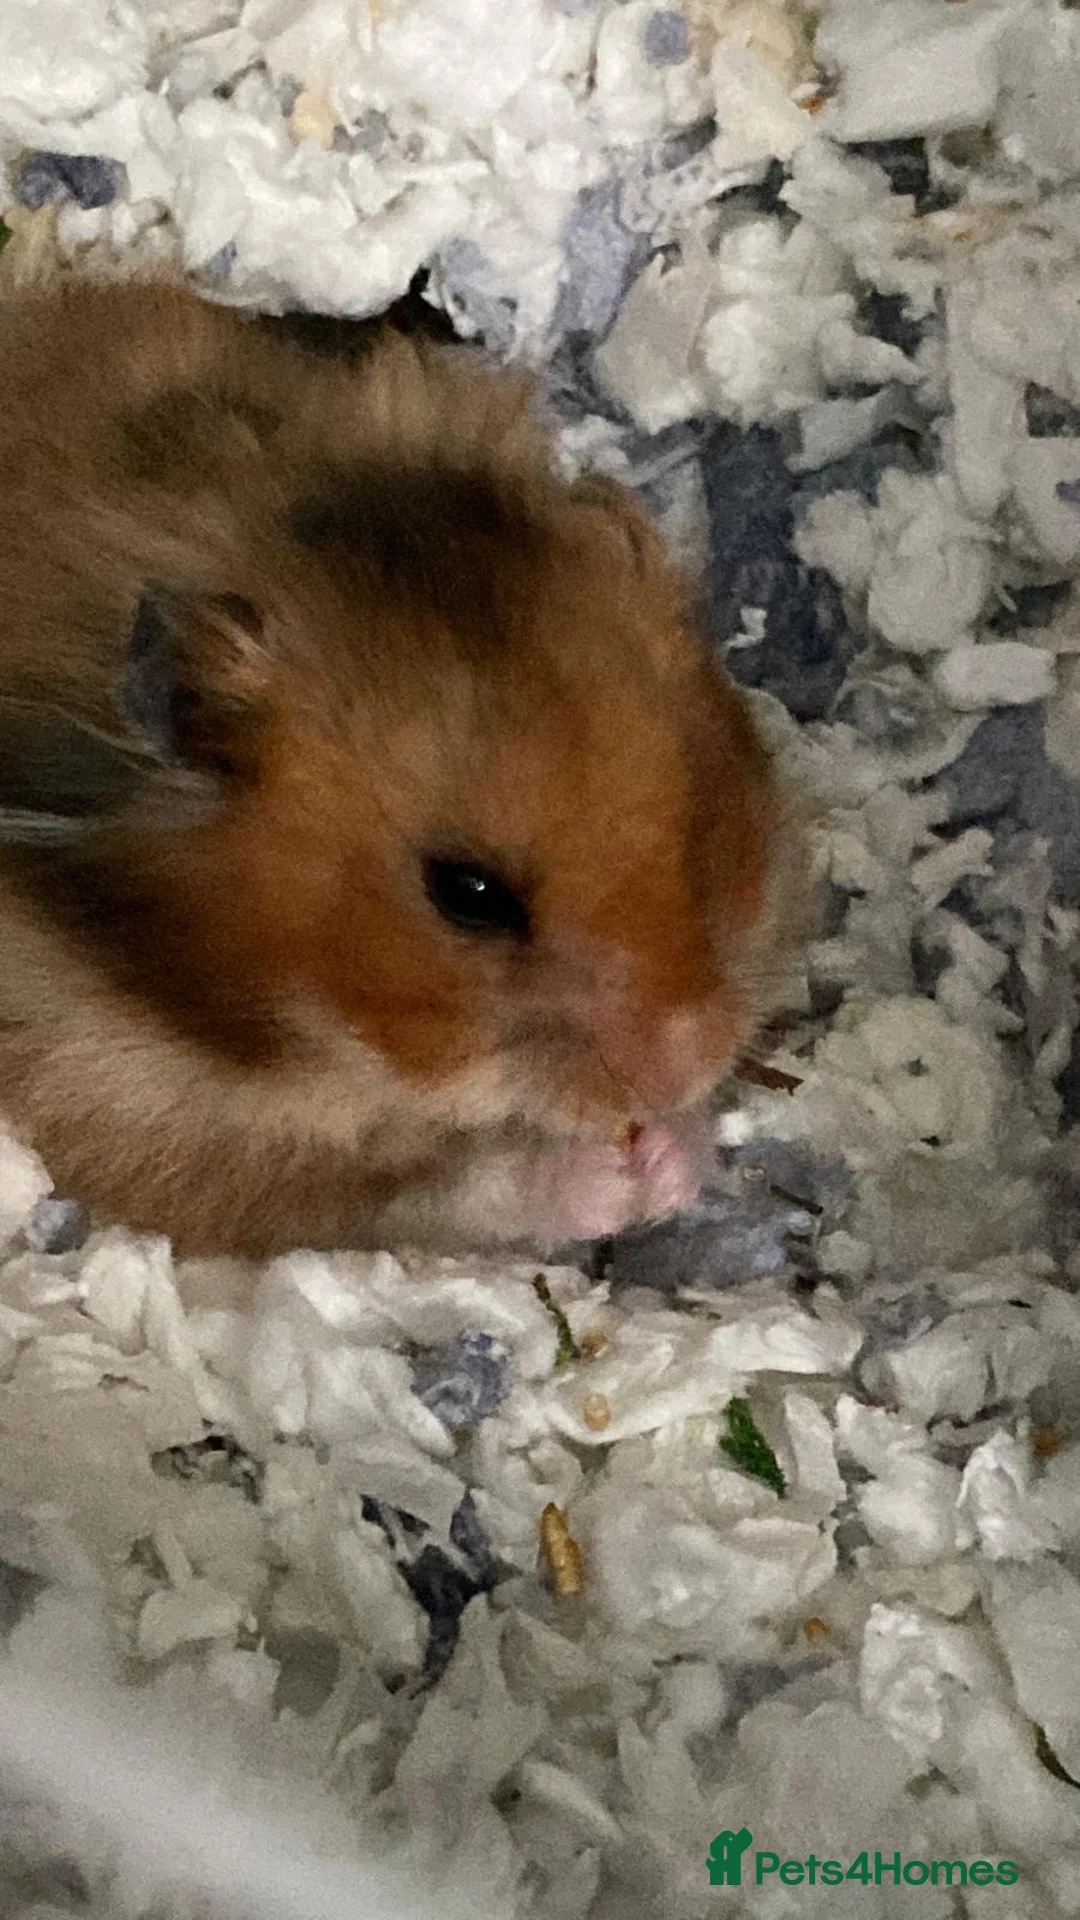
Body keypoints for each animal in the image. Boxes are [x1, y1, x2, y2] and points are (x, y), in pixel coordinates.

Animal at [0, 279, 803, 1261]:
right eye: (468, 894)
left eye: (700, 821)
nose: (687, 1060)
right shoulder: (143, 1121)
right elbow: (449, 1187)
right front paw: (627, 1171)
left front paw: (676, 1149)